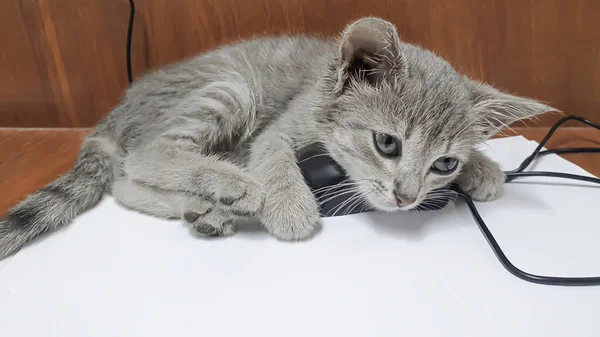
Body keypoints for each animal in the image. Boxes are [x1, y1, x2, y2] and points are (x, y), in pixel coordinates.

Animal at [0, 17, 552, 256]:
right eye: (388, 144)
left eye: (444, 164)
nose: (406, 197)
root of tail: (114, 114)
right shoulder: (282, 126)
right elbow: (271, 156)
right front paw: (289, 207)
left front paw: (485, 167)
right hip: (231, 87)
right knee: (143, 158)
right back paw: (233, 186)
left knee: (124, 183)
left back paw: (205, 208)